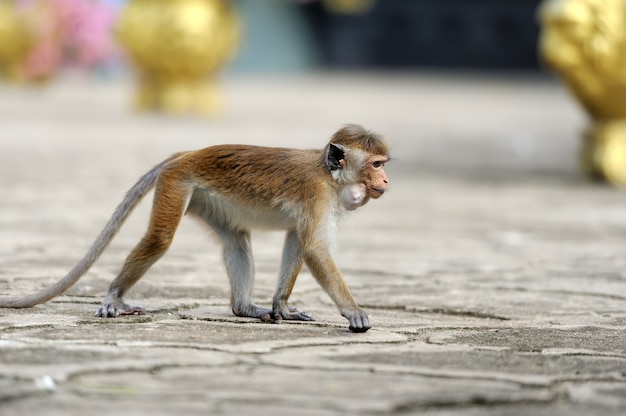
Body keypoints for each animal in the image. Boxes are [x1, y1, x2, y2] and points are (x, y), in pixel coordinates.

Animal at [0, 122, 388, 332]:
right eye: (375, 164)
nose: (385, 179)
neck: (330, 175)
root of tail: (187, 154)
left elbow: (297, 241)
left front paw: (282, 307)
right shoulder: (317, 195)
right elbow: (315, 249)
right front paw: (352, 310)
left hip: (205, 199)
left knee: (236, 241)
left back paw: (244, 308)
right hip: (177, 183)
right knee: (160, 238)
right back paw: (114, 297)